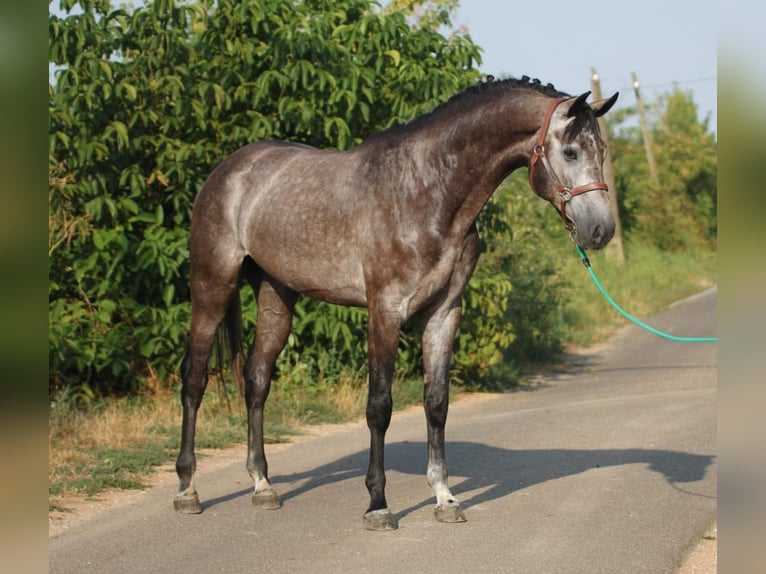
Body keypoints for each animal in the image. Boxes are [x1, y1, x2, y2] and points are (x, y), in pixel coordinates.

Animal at [172, 75, 616, 532]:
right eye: (570, 151)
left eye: (602, 152)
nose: (601, 230)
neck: (427, 191)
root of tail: (228, 170)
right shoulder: (385, 311)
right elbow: (379, 406)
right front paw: (378, 504)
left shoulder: (443, 313)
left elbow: (436, 402)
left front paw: (444, 497)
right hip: (212, 287)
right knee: (194, 379)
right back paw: (188, 489)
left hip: (276, 296)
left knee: (257, 379)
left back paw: (263, 485)